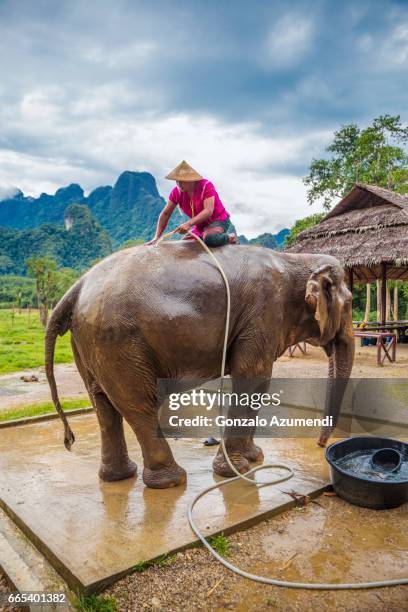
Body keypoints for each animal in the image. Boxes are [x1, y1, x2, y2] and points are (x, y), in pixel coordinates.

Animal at [45, 241, 354, 490]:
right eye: (351, 302)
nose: (321, 445)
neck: (297, 260)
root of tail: (77, 287)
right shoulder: (264, 313)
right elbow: (252, 376)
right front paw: (236, 471)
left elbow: (257, 383)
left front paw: (255, 458)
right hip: (117, 340)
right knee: (137, 404)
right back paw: (171, 482)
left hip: (88, 341)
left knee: (103, 403)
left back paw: (118, 477)